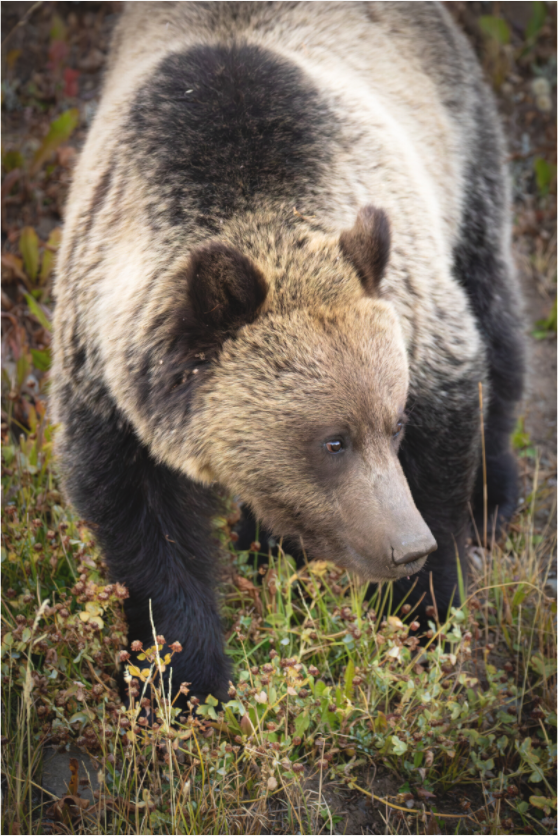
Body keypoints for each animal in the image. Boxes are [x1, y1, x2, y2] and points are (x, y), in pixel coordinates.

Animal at [52, 1, 524, 704]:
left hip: (465, 154)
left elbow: (447, 428)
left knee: (494, 307)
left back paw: (493, 494)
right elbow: (146, 532)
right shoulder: (106, 377)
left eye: (395, 422)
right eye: (333, 441)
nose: (406, 545)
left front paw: (427, 613)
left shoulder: (415, 310)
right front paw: (183, 681)